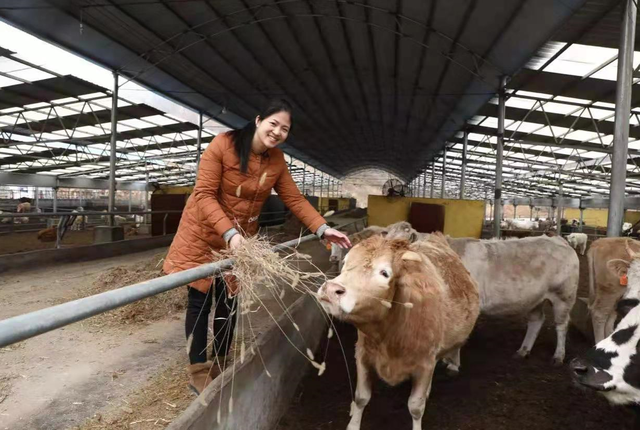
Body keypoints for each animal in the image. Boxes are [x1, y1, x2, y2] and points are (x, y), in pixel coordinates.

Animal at [318, 233, 478, 430]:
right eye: (346, 262)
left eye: (384, 273)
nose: (331, 289)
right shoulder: (362, 353)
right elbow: (361, 397)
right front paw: (353, 425)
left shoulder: (425, 363)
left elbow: (416, 407)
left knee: (457, 345)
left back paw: (454, 365)